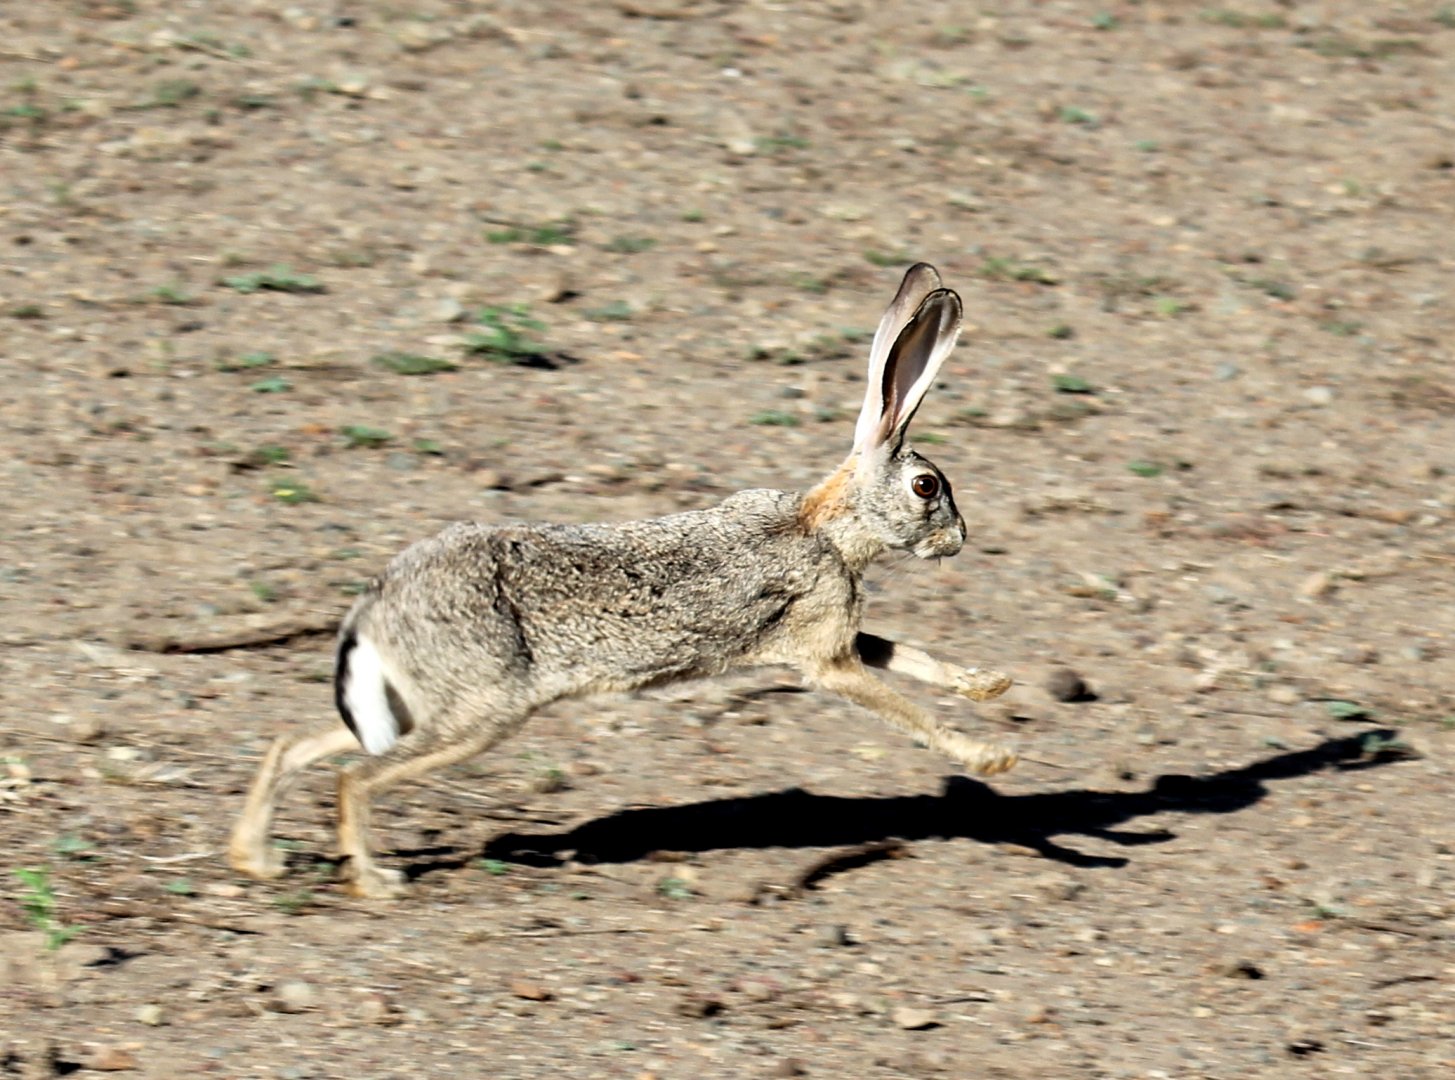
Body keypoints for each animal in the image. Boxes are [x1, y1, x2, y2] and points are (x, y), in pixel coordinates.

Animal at [229, 263, 1017, 899]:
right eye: (926, 487)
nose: (960, 538)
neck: (824, 527)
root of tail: (372, 612)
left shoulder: (832, 634)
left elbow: (910, 656)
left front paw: (991, 684)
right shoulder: (825, 655)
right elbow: (907, 710)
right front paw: (992, 755)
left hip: (412, 706)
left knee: (294, 745)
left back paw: (254, 858)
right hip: (478, 711)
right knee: (353, 777)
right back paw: (373, 881)